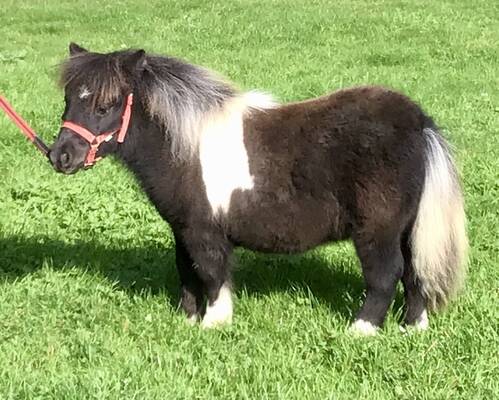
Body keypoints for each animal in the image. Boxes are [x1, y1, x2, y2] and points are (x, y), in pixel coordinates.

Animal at [49, 43, 468, 334]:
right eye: (68, 100)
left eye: (106, 106)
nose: (61, 156)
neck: (186, 144)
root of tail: (419, 122)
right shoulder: (183, 229)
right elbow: (187, 272)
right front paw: (188, 320)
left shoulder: (204, 231)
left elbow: (212, 274)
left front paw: (214, 323)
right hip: (408, 227)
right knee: (415, 271)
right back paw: (412, 327)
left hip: (376, 231)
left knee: (386, 275)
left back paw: (361, 330)